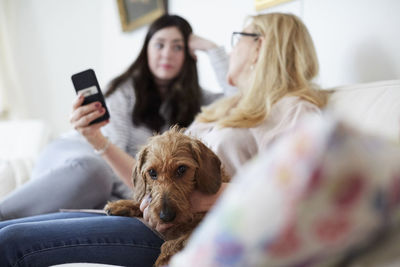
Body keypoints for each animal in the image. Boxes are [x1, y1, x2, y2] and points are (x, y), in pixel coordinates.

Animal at [104, 126, 230, 266]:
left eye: (182, 169)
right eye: (152, 172)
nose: (166, 216)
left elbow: (171, 244)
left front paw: (162, 260)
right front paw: (121, 205)